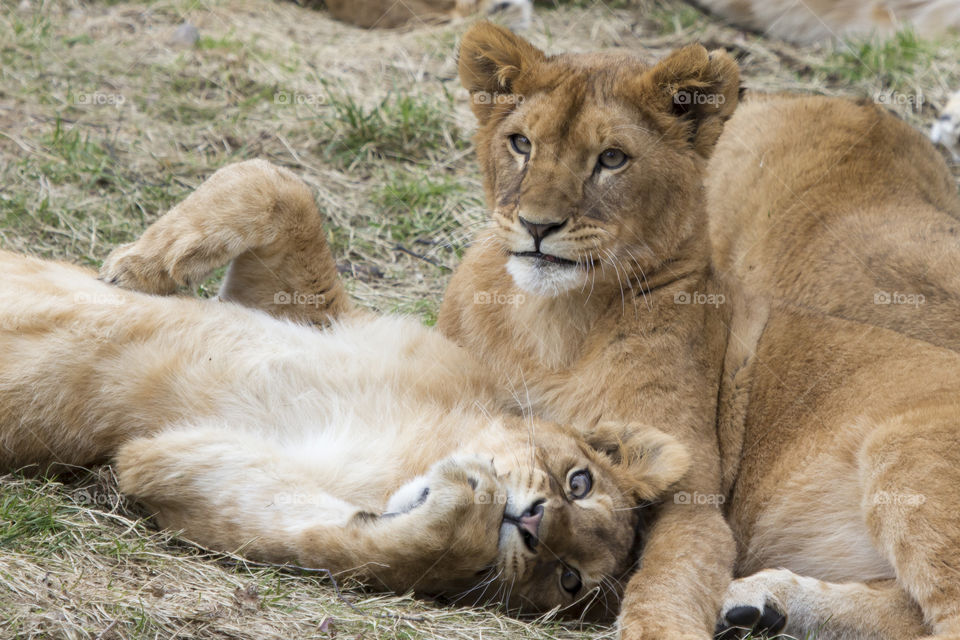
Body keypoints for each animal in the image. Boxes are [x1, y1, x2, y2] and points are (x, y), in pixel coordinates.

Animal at [0, 159, 692, 618]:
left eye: (568, 579)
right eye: (579, 482)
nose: (532, 522)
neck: (424, 441)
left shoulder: (166, 461)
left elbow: (338, 542)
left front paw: (460, 513)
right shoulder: (309, 312)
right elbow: (275, 186)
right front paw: (136, 270)